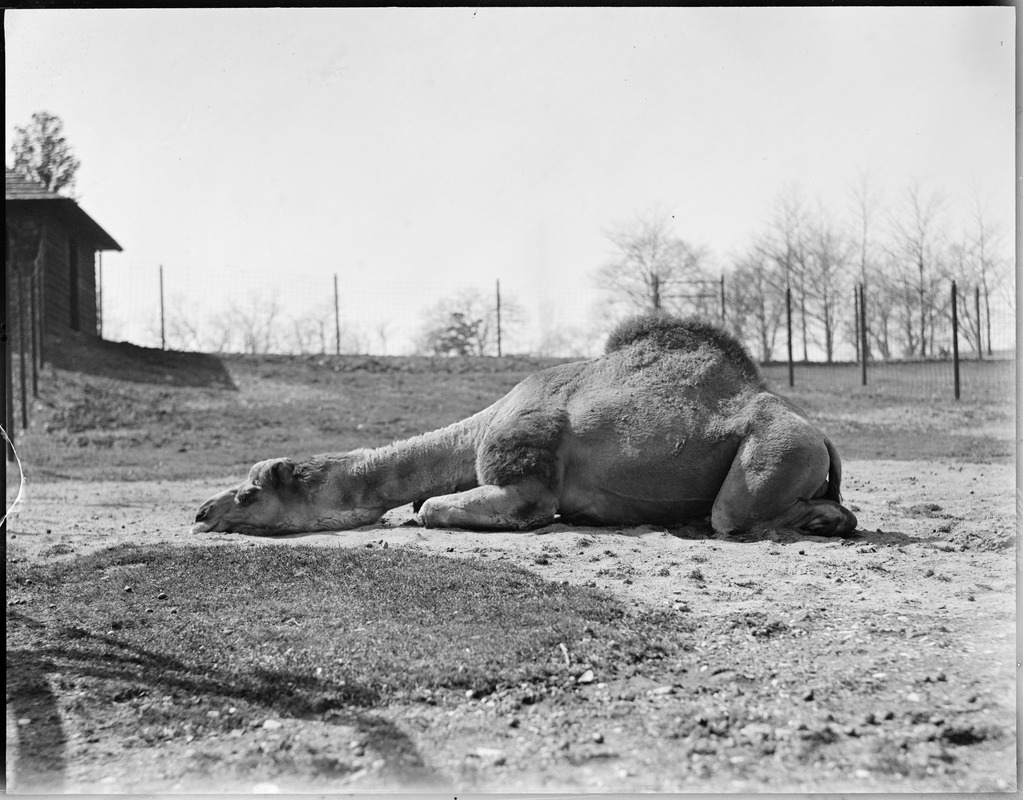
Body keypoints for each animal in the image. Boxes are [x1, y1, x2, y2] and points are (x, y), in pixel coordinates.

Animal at [190, 313, 855, 540]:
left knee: (737, 515)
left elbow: (434, 509)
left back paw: (820, 522)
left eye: (250, 493)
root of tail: (822, 435)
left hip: (770, 455)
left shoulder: (526, 477)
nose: (201, 512)